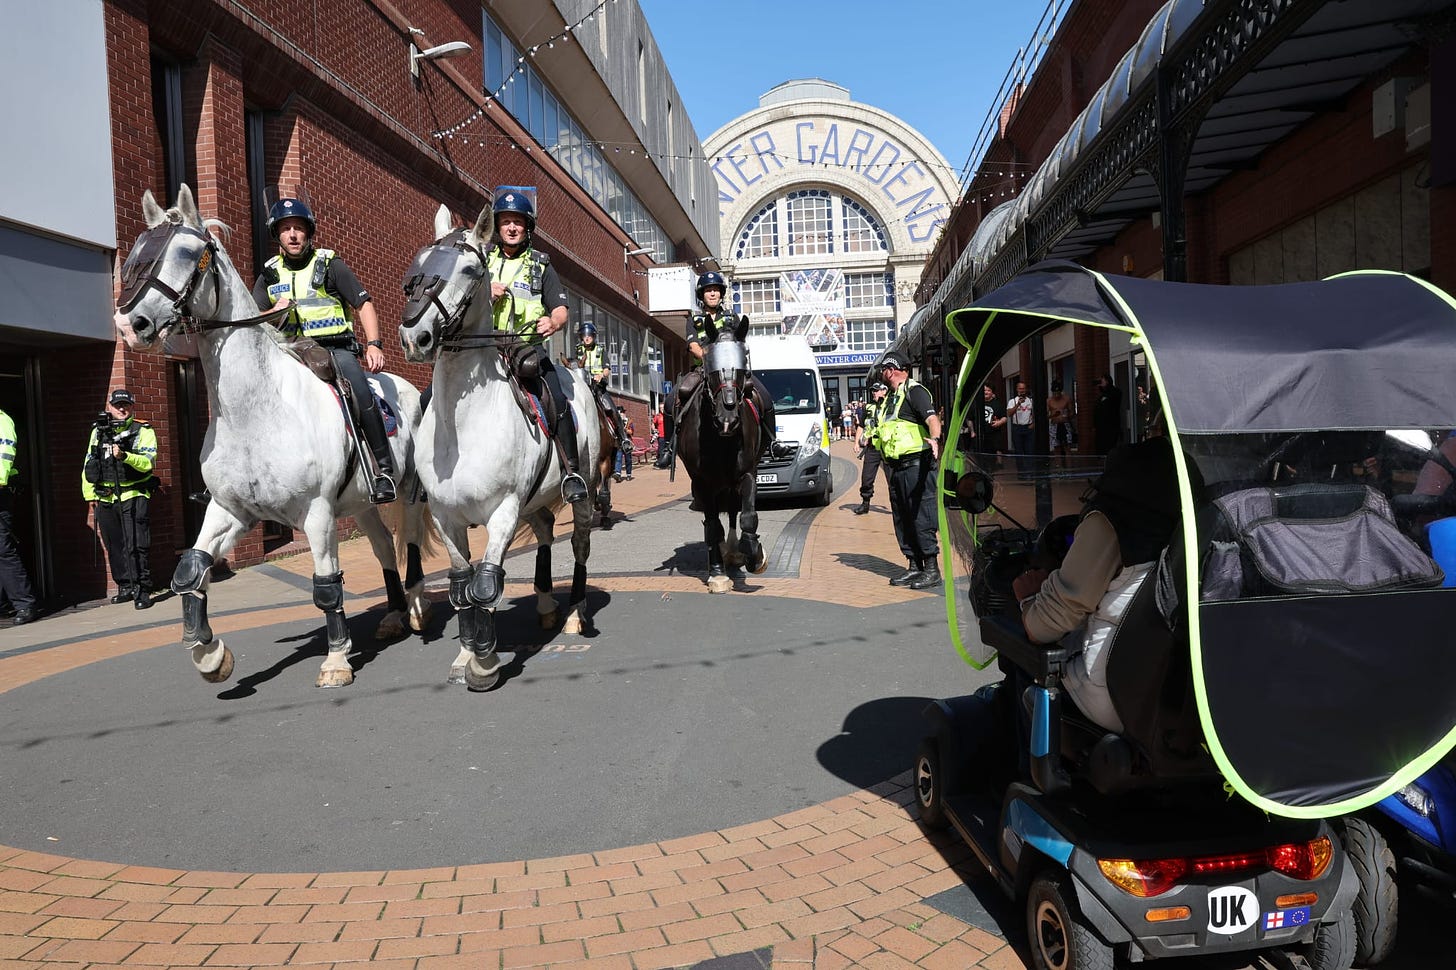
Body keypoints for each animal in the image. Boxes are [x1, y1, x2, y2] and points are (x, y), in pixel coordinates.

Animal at [115, 184, 430, 687]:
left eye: (187, 253)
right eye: (138, 251)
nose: (130, 324)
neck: (255, 413)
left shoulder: (317, 513)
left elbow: (326, 587)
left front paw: (336, 660)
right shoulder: (232, 510)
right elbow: (189, 570)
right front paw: (209, 653)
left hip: (408, 489)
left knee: (413, 539)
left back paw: (417, 607)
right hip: (360, 505)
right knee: (384, 545)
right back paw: (394, 614)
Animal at [396, 202, 599, 687]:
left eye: (469, 269)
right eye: (418, 264)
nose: (415, 337)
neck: (465, 429)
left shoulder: (503, 510)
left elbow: (486, 581)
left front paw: (484, 663)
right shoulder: (446, 516)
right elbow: (461, 583)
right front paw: (465, 654)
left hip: (581, 493)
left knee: (579, 544)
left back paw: (574, 614)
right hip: (535, 501)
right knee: (545, 529)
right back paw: (544, 604)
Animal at [672, 324, 768, 588]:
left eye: (742, 371)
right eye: (712, 371)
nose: (728, 421)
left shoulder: (747, 473)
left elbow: (748, 515)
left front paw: (754, 554)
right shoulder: (703, 482)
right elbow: (713, 525)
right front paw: (717, 573)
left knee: (734, 510)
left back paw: (735, 551)